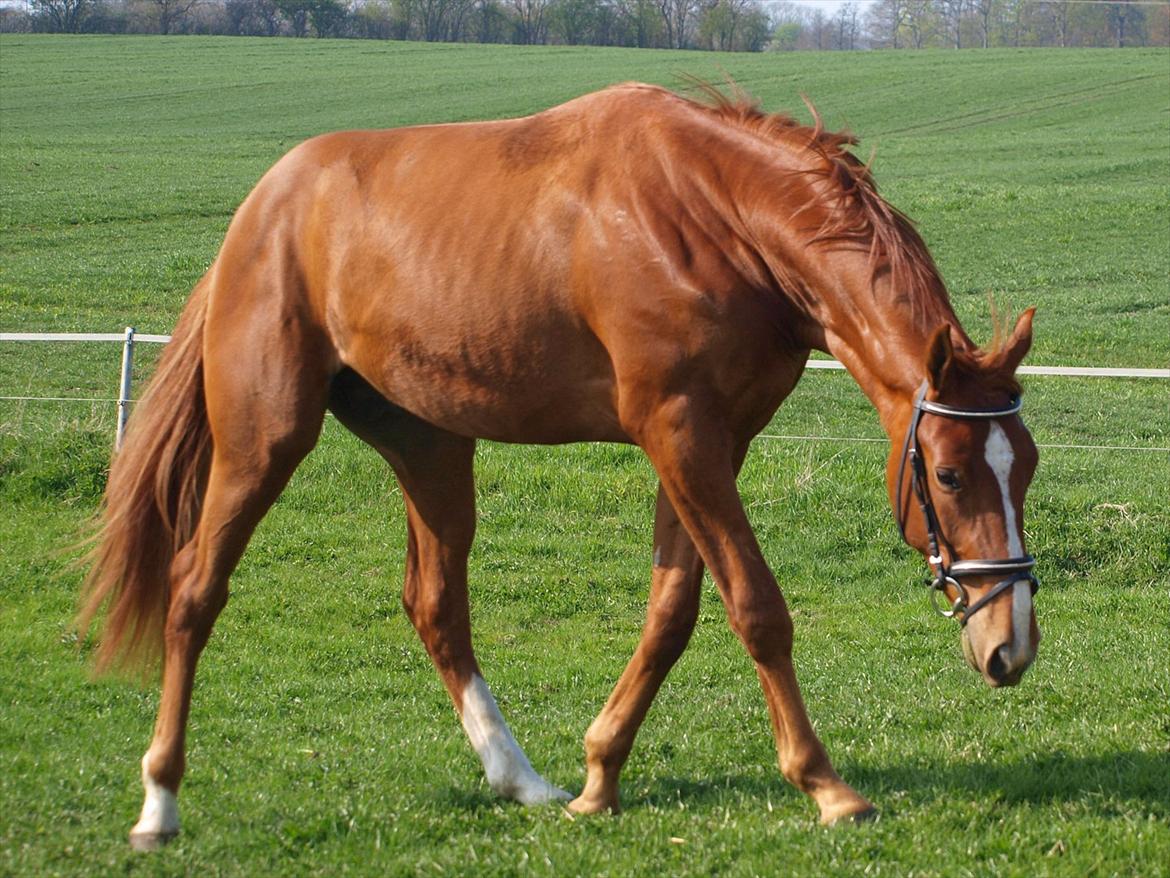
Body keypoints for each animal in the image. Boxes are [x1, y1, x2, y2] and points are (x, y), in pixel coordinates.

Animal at [77, 84, 1038, 852]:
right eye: (949, 476)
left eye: (1023, 466)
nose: (1011, 646)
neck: (715, 216)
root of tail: (259, 211)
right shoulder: (681, 433)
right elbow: (757, 609)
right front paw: (826, 785)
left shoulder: (709, 442)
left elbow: (672, 614)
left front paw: (599, 777)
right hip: (263, 442)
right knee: (195, 590)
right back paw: (158, 804)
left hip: (431, 448)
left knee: (435, 606)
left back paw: (522, 780)